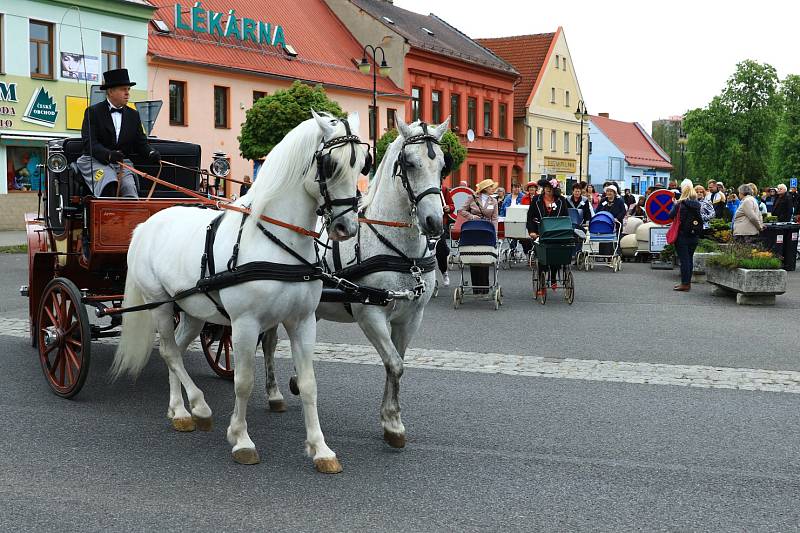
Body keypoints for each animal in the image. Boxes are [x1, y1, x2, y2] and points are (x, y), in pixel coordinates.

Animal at [111, 111, 368, 470]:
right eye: (330, 164)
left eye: (362, 165)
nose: (346, 228)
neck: (277, 241)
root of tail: (148, 223)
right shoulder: (245, 324)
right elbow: (244, 382)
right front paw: (241, 439)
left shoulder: (303, 322)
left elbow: (308, 384)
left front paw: (321, 449)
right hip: (159, 304)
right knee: (169, 352)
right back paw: (197, 406)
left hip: (192, 311)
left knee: (176, 349)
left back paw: (179, 409)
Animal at [264, 115, 446, 444]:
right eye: (409, 163)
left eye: (442, 164)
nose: (435, 222)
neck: (401, 252)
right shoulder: (370, 315)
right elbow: (394, 364)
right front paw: (392, 422)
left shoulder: (411, 317)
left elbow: (397, 363)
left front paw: (391, 418)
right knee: (269, 343)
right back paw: (273, 394)